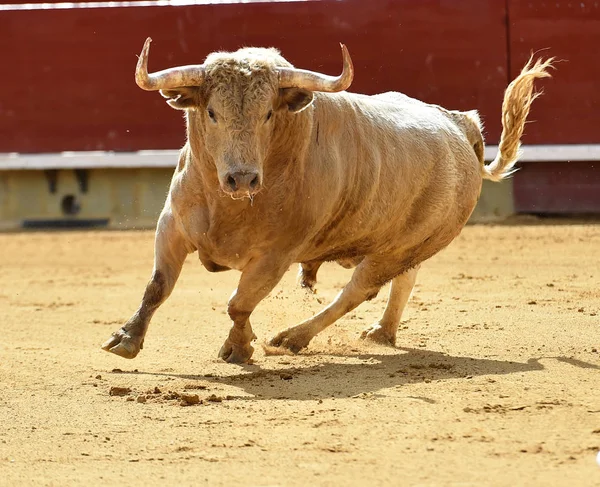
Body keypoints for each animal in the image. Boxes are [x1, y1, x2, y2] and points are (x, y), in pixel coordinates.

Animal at [99, 38, 552, 364]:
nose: (242, 177)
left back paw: (293, 337)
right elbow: (158, 286)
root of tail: (460, 124)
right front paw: (126, 338)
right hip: (404, 241)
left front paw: (240, 347)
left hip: (401, 247)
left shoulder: (275, 256)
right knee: (404, 279)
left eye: (268, 114)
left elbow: (239, 303)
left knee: (358, 291)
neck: (233, 205)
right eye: (211, 112)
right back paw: (382, 332)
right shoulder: (172, 225)